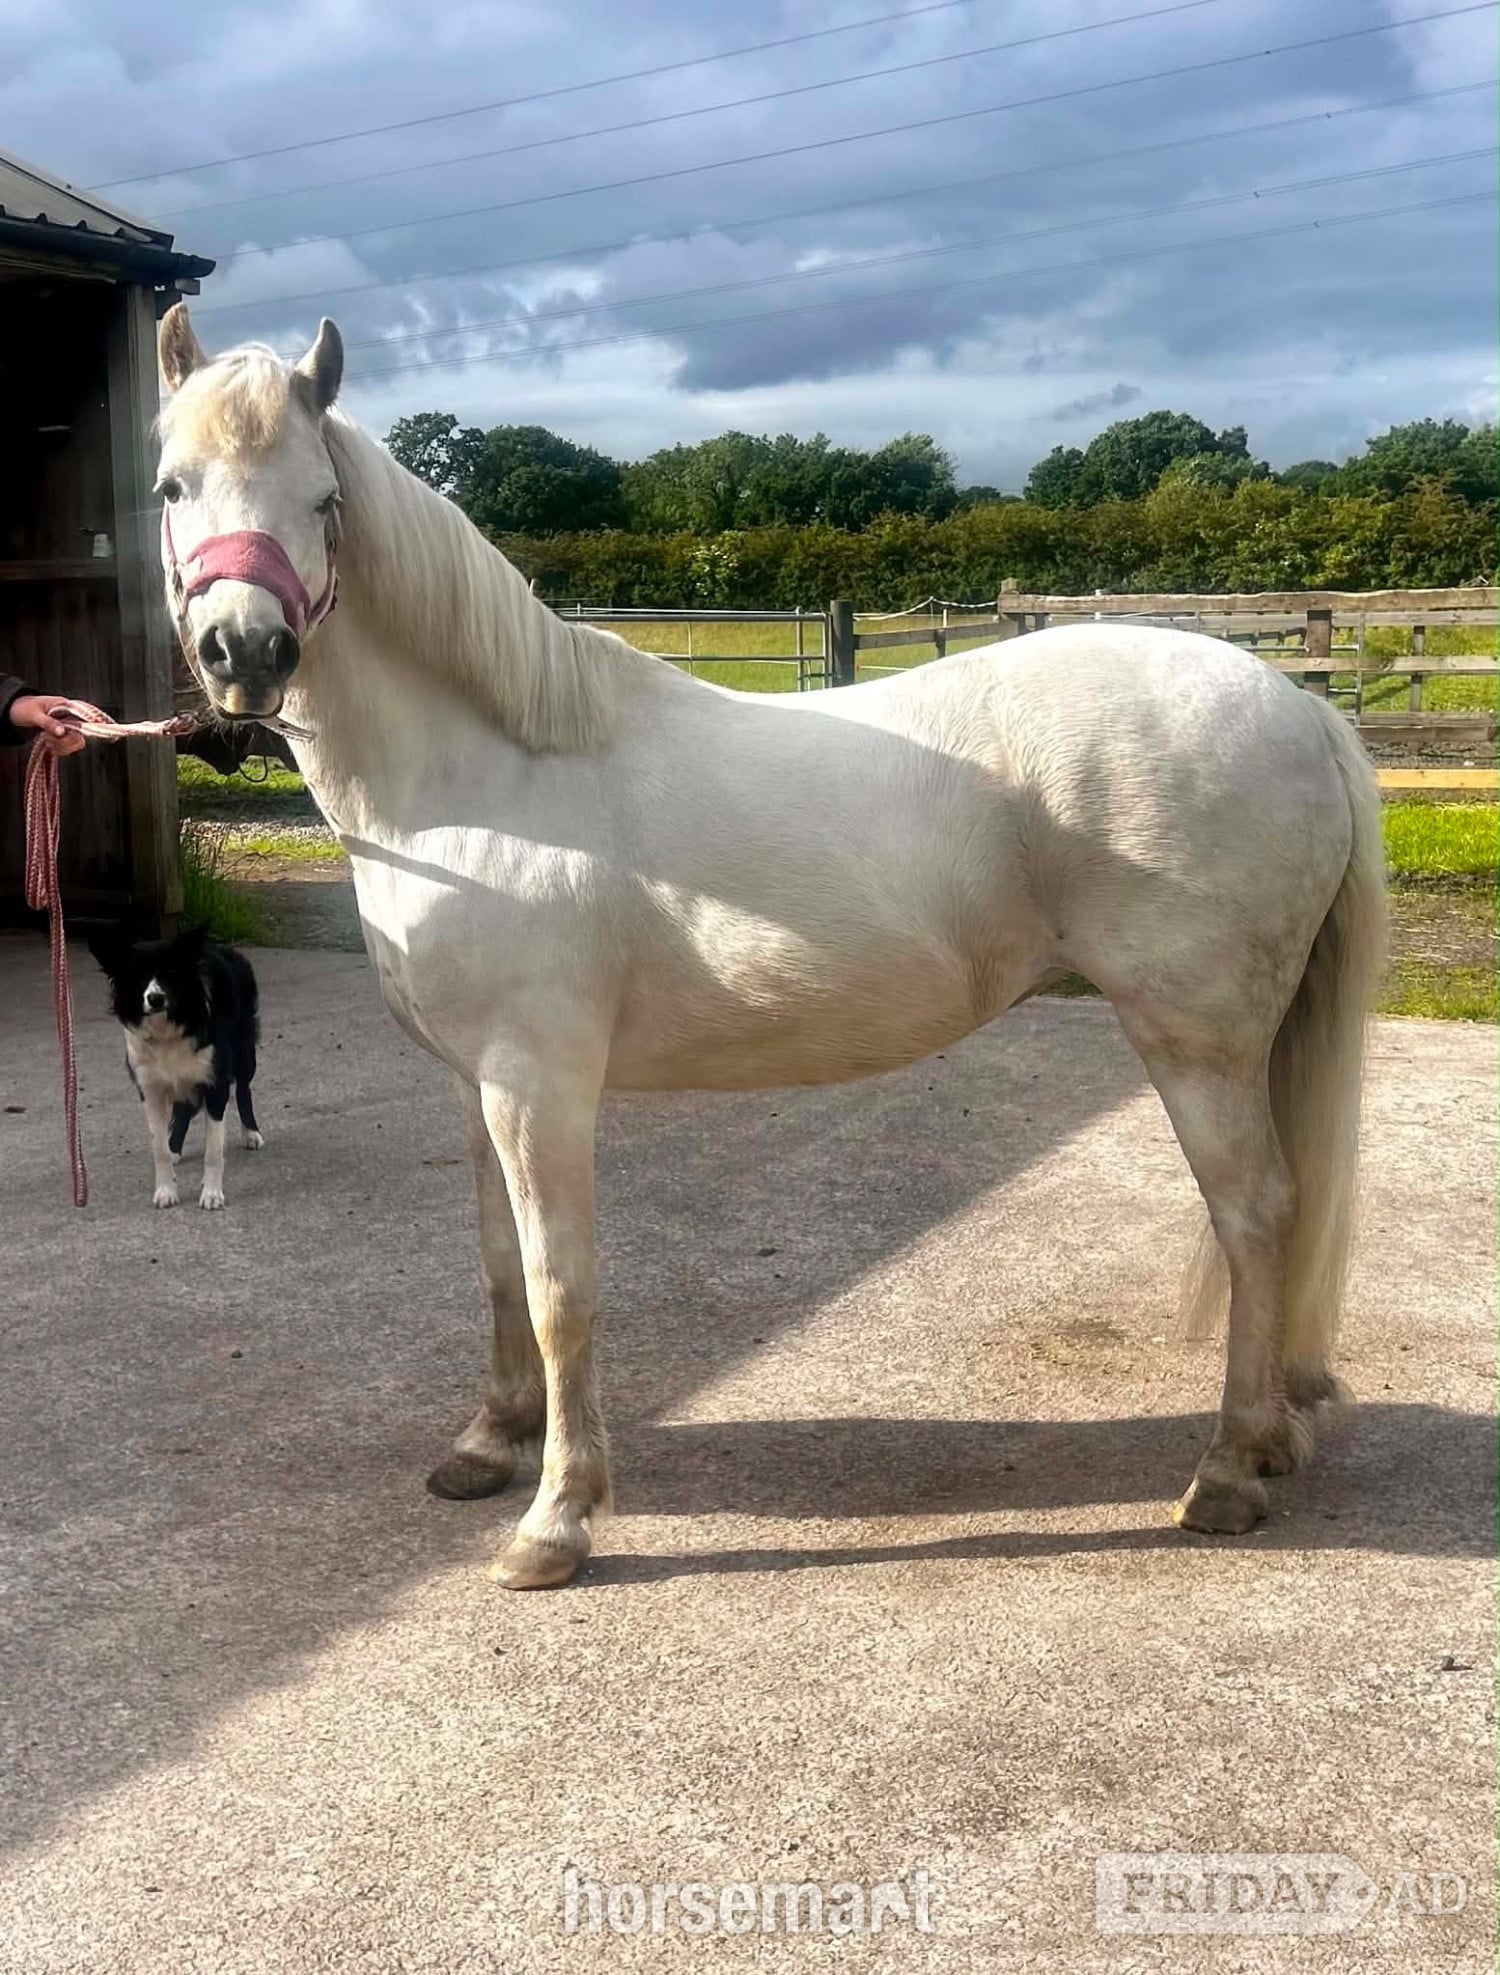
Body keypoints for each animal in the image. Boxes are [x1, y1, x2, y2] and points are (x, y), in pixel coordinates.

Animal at [151, 303, 1386, 1590]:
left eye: (322, 500)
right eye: (172, 486)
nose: (245, 652)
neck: (486, 777)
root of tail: (1303, 708)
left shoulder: (541, 1088)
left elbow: (558, 1288)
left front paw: (557, 1518)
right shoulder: (475, 1083)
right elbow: (496, 1265)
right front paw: (491, 1443)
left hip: (1197, 1043)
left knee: (1257, 1215)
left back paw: (1229, 1471)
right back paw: (1272, 1434)